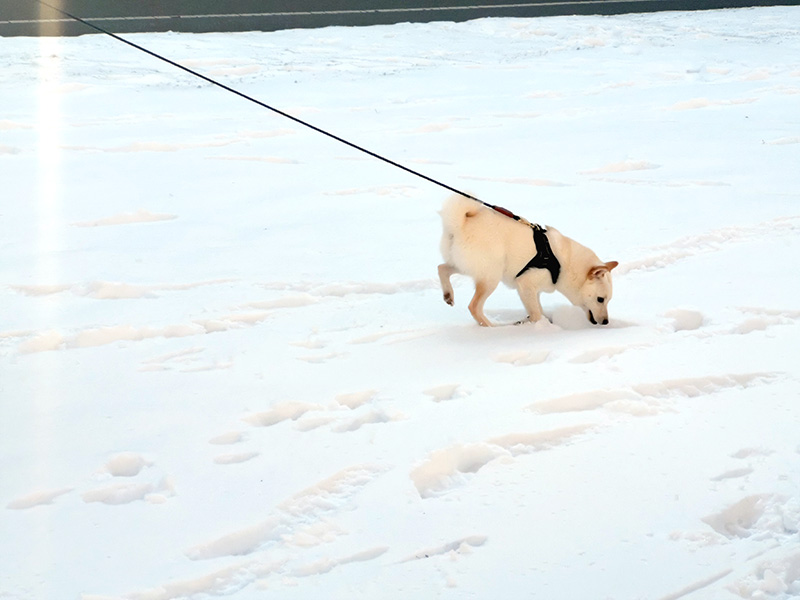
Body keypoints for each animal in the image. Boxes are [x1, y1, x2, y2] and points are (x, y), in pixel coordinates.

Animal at [438, 193, 620, 328]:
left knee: (441, 268)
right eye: (600, 299)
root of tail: (460, 224)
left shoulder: (533, 291)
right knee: (474, 306)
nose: (606, 322)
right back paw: (491, 327)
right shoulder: (526, 285)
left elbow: (538, 311)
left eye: (608, 300)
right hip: (490, 277)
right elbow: (536, 314)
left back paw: (448, 295)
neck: (563, 264)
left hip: (466, 266)